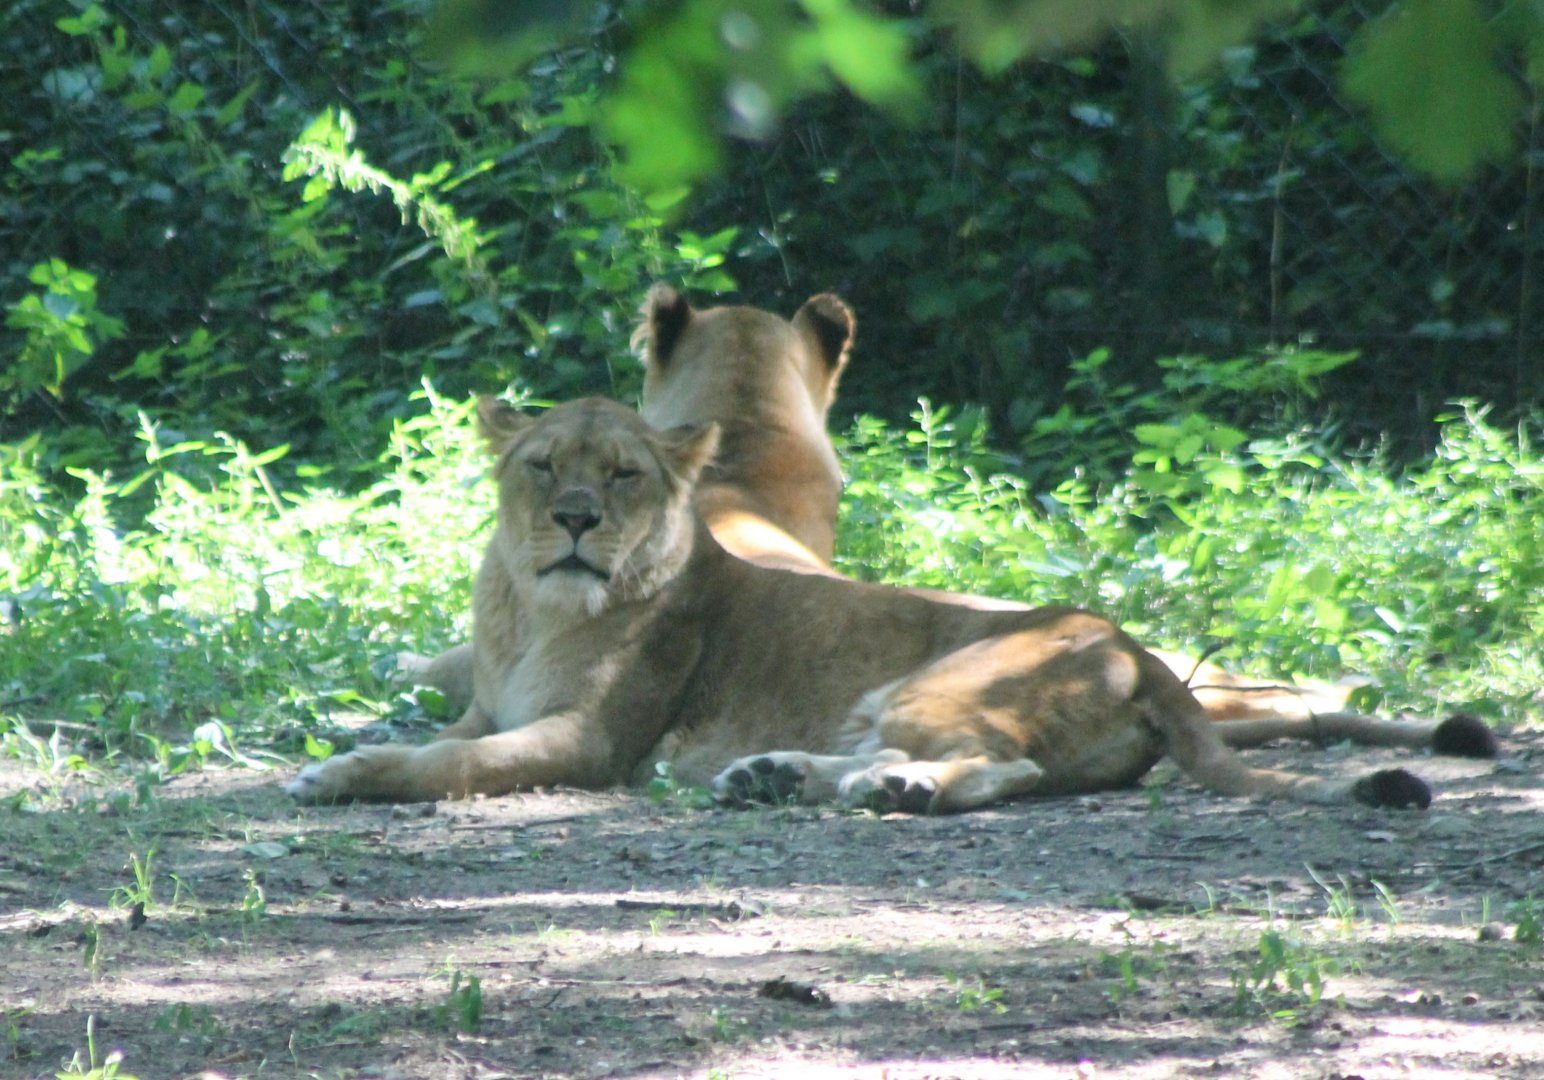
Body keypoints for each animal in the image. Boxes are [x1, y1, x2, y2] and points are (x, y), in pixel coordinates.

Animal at [287, 397, 1452, 813]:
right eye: (542, 467)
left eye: (622, 474)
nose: (576, 519)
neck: (541, 610)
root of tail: (1134, 647)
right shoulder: (490, 706)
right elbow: (445, 735)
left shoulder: (589, 742)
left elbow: (445, 765)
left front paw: (342, 774)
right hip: (884, 701)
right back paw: (777, 778)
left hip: (941, 682)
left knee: (1003, 768)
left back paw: (892, 795)